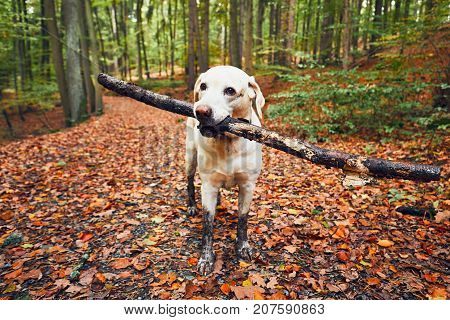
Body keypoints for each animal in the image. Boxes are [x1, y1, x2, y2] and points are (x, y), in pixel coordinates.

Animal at [185, 65, 266, 276]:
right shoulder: (208, 186)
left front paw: (243, 248)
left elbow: (243, 219)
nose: (201, 111)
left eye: (230, 91)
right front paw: (206, 258)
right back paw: (191, 205)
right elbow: (207, 225)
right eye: (203, 86)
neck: (228, 141)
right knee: (189, 182)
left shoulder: (248, 185)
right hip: (190, 158)